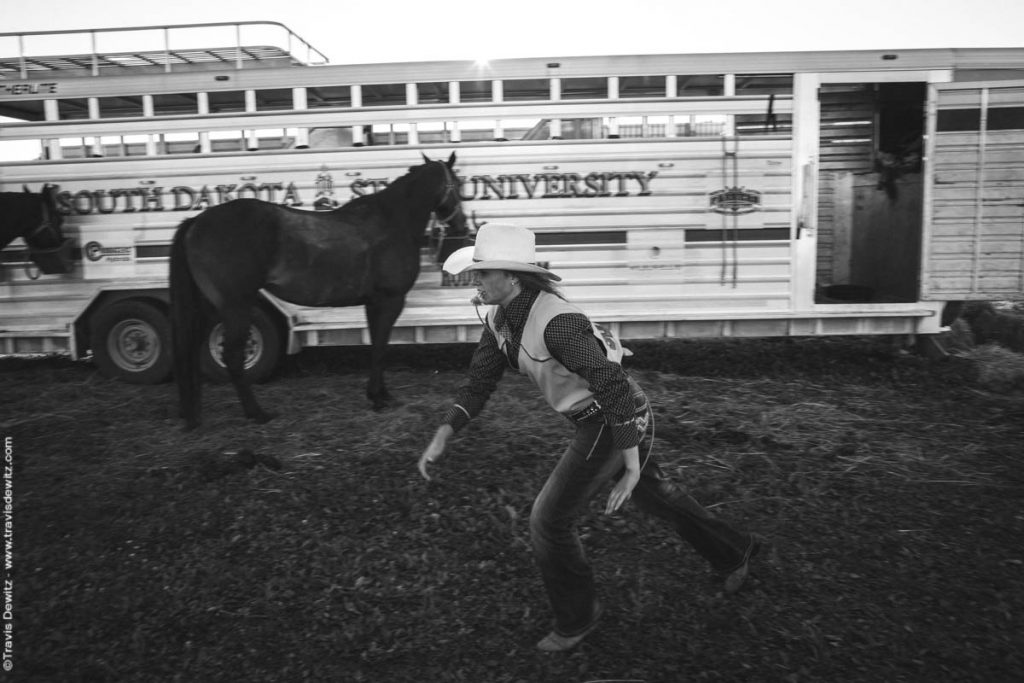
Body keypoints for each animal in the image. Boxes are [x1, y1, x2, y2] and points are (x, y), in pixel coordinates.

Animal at [171, 152, 468, 430]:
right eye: (458, 183)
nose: (462, 227)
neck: (393, 221)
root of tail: (196, 222)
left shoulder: (373, 302)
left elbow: (376, 345)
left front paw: (379, 394)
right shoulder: (390, 300)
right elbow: (381, 347)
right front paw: (379, 398)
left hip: (209, 307)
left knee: (190, 348)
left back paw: (192, 414)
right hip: (237, 307)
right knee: (232, 357)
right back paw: (257, 413)